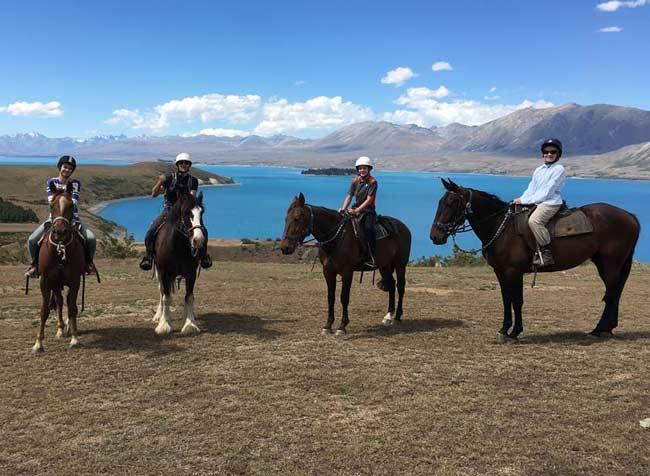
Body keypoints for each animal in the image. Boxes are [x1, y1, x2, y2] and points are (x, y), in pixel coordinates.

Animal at [32, 181, 85, 350]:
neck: (60, 248)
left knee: (66, 303)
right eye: (51, 205)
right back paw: (60, 329)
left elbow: (73, 308)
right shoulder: (45, 281)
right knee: (60, 302)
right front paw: (38, 343)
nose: (60, 231)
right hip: (55, 283)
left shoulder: (75, 280)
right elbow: (44, 310)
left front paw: (74, 338)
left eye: (71, 205)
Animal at [149, 192, 205, 334]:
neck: (177, 246)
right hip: (159, 273)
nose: (198, 240)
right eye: (185, 212)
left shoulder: (191, 273)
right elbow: (166, 297)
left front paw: (190, 324)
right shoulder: (164, 273)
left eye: (202, 212)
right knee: (161, 291)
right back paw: (158, 315)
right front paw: (164, 324)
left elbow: (189, 297)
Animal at [278, 192, 410, 334]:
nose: (285, 247)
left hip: (400, 264)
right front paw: (327, 326)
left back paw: (397, 317)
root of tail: (404, 227)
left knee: (400, 287)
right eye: (286, 219)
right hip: (384, 266)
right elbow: (331, 297)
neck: (336, 239)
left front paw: (342, 326)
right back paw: (388, 316)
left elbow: (344, 297)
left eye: (297, 218)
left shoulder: (347, 272)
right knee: (391, 284)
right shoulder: (328, 272)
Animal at [430, 179, 636, 342]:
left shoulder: (514, 272)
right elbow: (506, 299)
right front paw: (504, 330)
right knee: (615, 292)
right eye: (440, 201)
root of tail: (630, 216)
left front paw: (514, 332)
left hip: (610, 263)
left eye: (452, 202)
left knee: (612, 293)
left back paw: (598, 330)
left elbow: (517, 301)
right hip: (603, 263)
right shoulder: (500, 272)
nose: (435, 236)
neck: (502, 228)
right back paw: (607, 329)